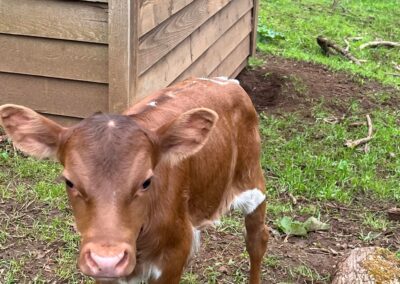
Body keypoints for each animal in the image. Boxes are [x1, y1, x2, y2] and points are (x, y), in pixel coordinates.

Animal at [0, 77, 268, 284]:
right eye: (69, 182)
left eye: (146, 181)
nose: (108, 260)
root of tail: (226, 82)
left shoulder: (173, 258)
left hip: (252, 179)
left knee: (257, 240)